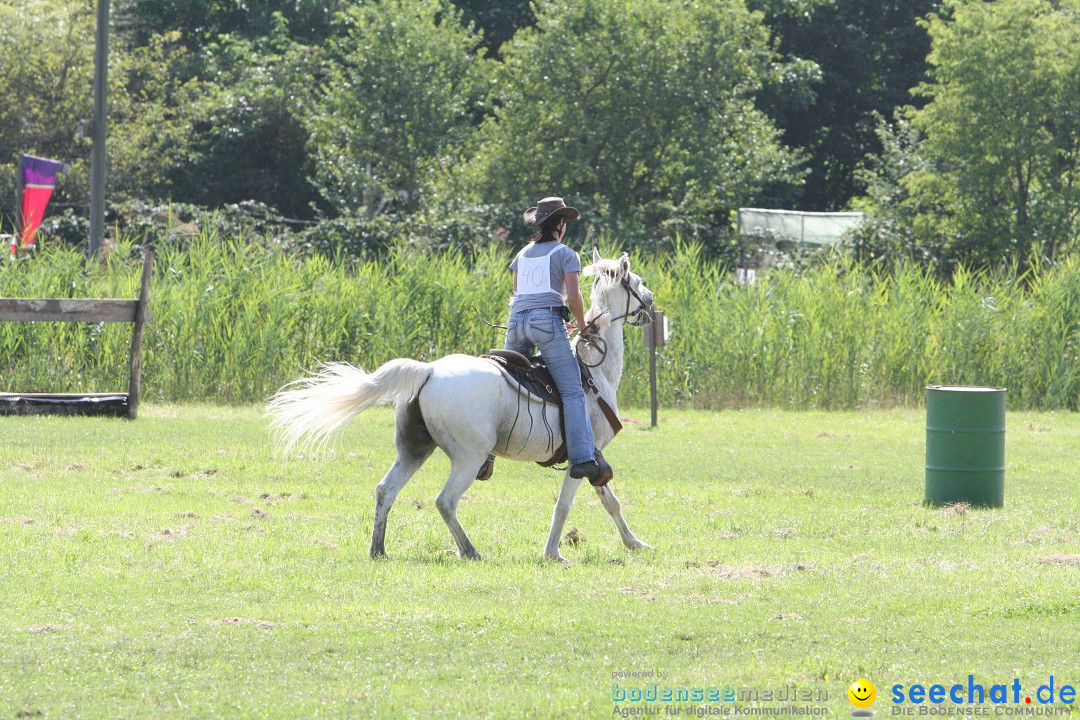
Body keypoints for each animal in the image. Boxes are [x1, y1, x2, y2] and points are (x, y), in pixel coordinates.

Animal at [270, 249, 656, 561]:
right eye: (638, 281)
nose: (651, 302)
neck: (593, 370)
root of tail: (427, 370)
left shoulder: (594, 459)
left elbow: (610, 501)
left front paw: (635, 544)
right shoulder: (585, 456)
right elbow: (567, 505)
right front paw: (553, 553)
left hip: (414, 449)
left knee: (386, 490)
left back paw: (379, 549)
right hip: (468, 457)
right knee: (445, 500)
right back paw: (469, 550)